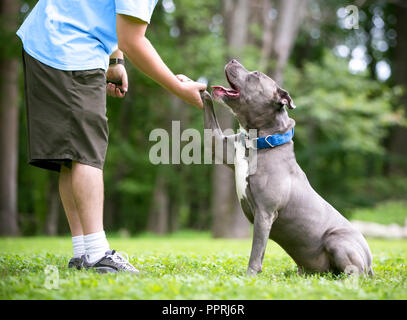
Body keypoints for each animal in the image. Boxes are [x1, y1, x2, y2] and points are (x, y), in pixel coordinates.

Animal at [202, 60, 374, 278]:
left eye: (256, 75)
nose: (233, 60)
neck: (258, 140)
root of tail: (370, 260)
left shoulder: (265, 213)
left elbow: (256, 250)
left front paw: (250, 276)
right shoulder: (217, 144)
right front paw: (198, 88)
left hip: (337, 240)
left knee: (354, 272)